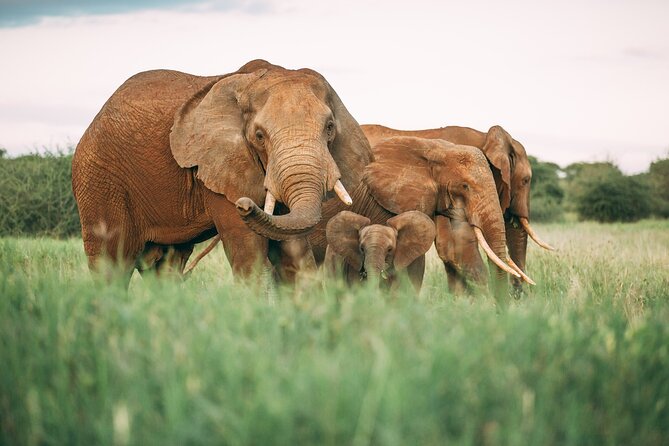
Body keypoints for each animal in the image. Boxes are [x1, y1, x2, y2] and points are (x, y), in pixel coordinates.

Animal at [71, 59, 372, 285]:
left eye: (330, 127)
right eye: (259, 136)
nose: (245, 205)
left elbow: (294, 249)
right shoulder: (220, 165)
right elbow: (247, 248)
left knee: (166, 263)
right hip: (99, 179)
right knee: (111, 263)